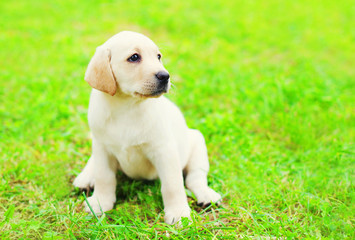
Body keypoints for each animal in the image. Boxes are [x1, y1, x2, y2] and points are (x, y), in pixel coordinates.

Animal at [73, 31, 221, 224]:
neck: (126, 107)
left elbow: (173, 185)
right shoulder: (102, 148)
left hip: (197, 143)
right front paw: (100, 202)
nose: (165, 76)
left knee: (195, 178)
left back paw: (206, 195)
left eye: (158, 57)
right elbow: (104, 178)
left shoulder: (164, 151)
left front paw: (178, 213)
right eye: (134, 57)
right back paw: (85, 177)